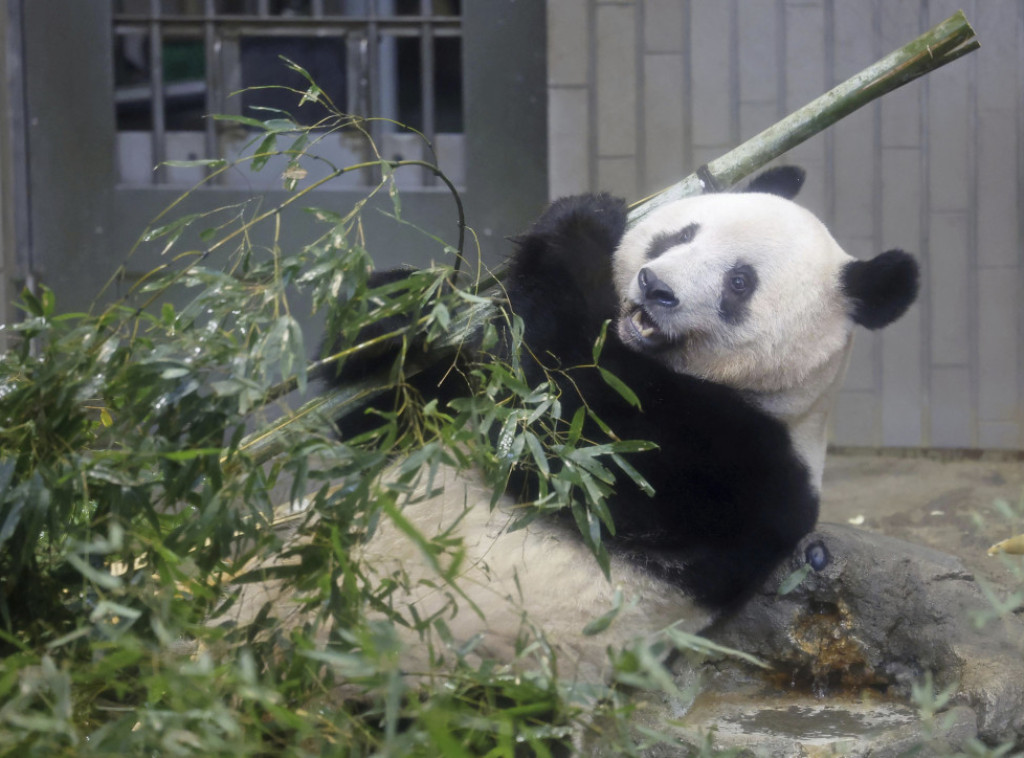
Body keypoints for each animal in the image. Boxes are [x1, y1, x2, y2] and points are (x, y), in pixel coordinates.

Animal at [335, 170, 921, 680]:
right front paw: (397, 312)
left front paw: (583, 224)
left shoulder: (736, 467)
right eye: (682, 234)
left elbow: (568, 435)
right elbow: (402, 411)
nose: (655, 285)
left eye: (739, 282)